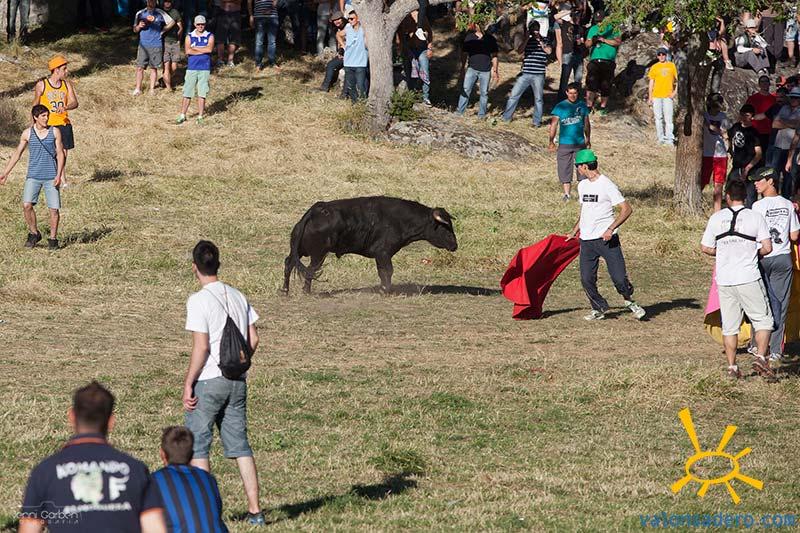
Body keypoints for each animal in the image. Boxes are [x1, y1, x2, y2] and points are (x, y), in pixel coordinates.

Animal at [283, 196, 458, 293]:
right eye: (445, 227)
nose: (455, 245)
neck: (401, 220)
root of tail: (317, 210)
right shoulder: (383, 253)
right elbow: (387, 271)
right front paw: (386, 290)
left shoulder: (380, 256)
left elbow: (382, 272)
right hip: (318, 254)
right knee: (310, 270)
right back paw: (306, 291)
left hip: (299, 250)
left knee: (289, 263)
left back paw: (285, 290)